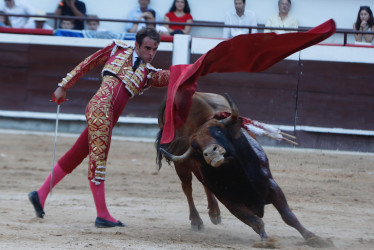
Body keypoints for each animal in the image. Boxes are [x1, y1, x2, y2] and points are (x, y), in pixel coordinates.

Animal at [155, 91, 334, 247]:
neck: (235, 172)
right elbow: (256, 222)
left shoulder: (272, 185)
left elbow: (289, 217)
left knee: (203, 186)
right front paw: (267, 241)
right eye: (197, 148)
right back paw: (196, 221)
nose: (210, 153)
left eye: (217, 131)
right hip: (181, 166)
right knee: (188, 188)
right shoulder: (230, 201)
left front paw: (314, 238)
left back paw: (214, 213)